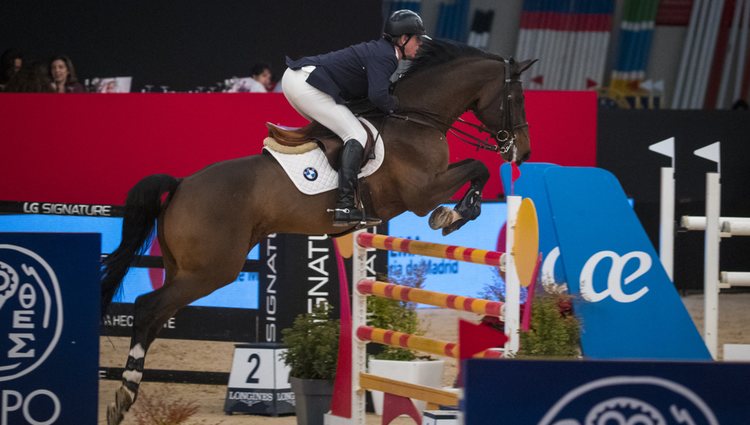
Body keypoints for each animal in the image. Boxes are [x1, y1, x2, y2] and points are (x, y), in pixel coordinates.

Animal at [104, 38, 536, 422]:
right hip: (211, 271)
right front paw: (454, 215)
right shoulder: (422, 192)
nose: (523, 151)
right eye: (516, 98)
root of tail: (181, 185)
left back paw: (126, 393)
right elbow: (476, 170)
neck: (416, 118)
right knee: (147, 308)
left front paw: (458, 212)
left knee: (156, 316)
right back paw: (124, 395)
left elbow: (476, 170)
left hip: (185, 269)